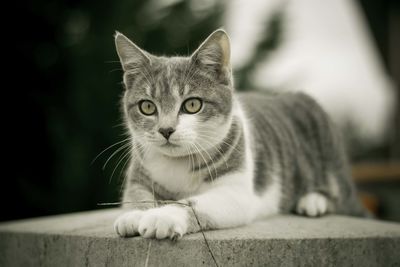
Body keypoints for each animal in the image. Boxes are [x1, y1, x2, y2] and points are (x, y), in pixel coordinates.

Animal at [111, 29, 368, 241]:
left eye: (192, 105)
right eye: (147, 107)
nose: (165, 130)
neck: (178, 164)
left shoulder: (237, 194)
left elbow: (194, 203)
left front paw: (162, 216)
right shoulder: (138, 175)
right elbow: (137, 194)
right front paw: (134, 214)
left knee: (341, 196)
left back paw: (312, 201)